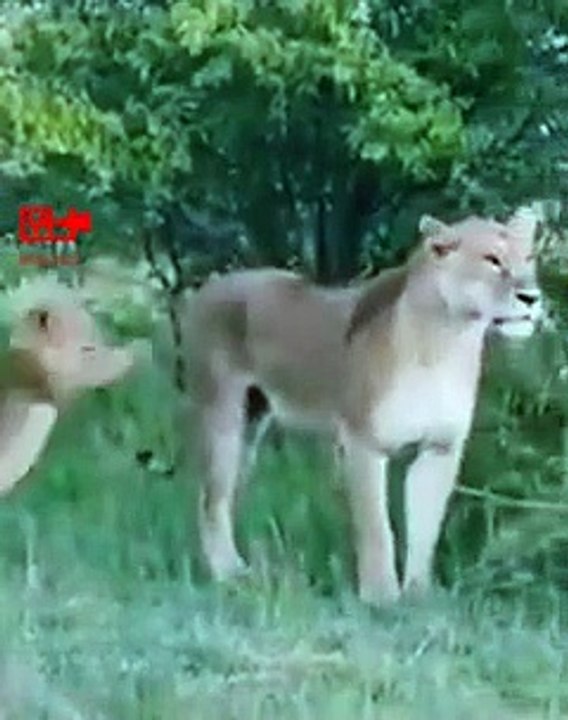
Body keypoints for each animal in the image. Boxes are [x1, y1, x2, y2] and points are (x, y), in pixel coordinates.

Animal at [179, 208, 543, 605]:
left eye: (529, 258)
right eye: (492, 260)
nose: (532, 297)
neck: (447, 342)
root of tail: (210, 287)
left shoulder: (440, 448)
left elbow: (425, 528)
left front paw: (419, 597)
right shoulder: (363, 442)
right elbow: (376, 527)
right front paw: (381, 598)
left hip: (250, 428)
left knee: (223, 497)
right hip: (223, 418)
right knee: (209, 500)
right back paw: (230, 575)